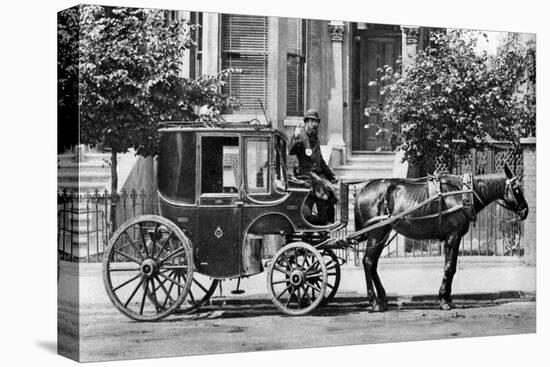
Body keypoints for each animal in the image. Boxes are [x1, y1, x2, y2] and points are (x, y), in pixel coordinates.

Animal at [354, 165, 532, 312]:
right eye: (516, 189)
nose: (525, 210)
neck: (462, 194)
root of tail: (363, 190)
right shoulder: (452, 237)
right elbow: (449, 267)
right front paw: (444, 300)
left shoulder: (455, 238)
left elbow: (451, 268)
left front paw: (447, 298)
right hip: (376, 232)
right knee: (368, 261)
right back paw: (374, 302)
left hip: (383, 233)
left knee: (373, 263)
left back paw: (382, 299)